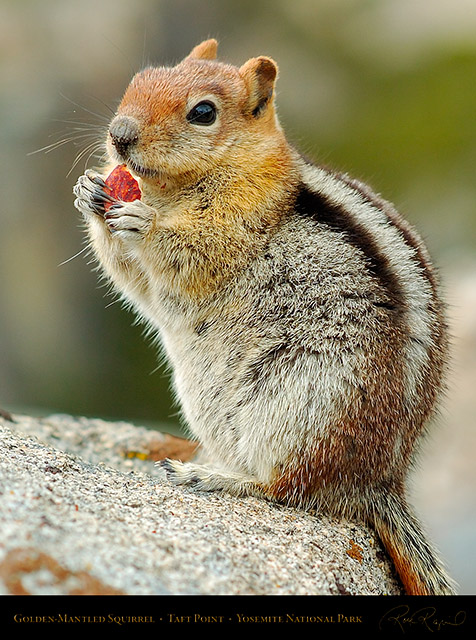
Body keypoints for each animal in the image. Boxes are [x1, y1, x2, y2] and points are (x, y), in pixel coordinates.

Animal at [72, 41, 456, 596]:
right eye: (139, 80)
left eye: (203, 112)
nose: (119, 135)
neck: (177, 187)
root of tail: (378, 482)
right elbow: (135, 281)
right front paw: (89, 190)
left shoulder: (237, 221)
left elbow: (191, 251)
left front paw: (145, 224)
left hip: (305, 404)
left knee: (289, 487)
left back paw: (212, 477)